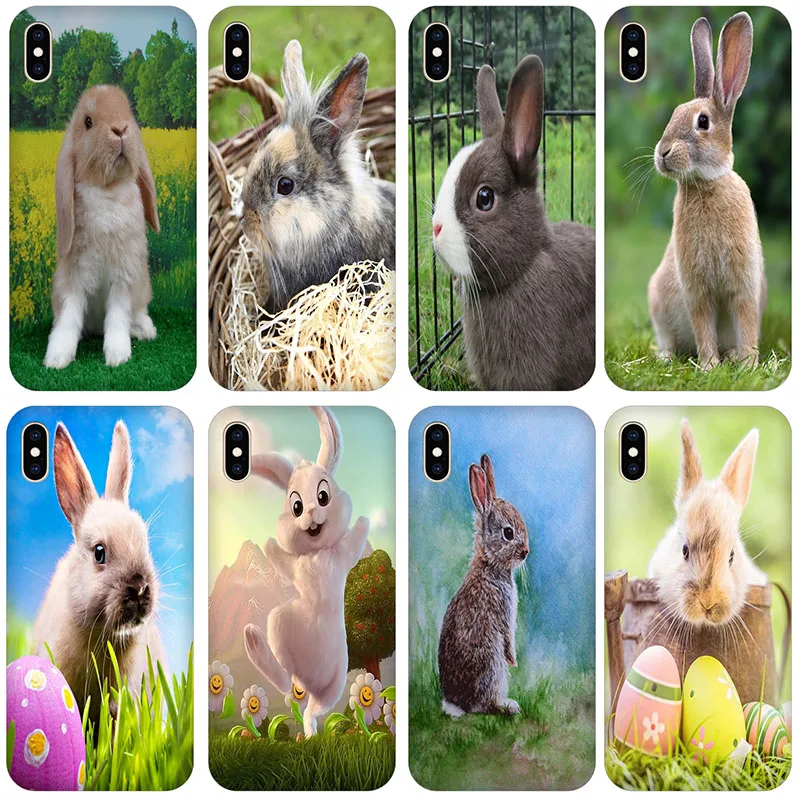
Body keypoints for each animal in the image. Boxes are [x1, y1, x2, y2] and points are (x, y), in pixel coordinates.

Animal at [45, 84, 159, 369]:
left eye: (129, 113)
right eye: (88, 122)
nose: (120, 129)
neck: (108, 190)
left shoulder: (124, 274)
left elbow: (118, 317)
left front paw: (118, 356)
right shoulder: (74, 275)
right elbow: (68, 317)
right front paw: (56, 358)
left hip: (142, 286)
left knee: (136, 312)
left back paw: (145, 330)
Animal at [243, 407, 370, 737]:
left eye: (323, 496)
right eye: (296, 506)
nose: (312, 514)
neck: (315, 554)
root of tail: (310, 683)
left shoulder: (341, 556)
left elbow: (354, 538)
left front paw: (363, 520)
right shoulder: (298, 567)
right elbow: (281, 560)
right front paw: (269, 542)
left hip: (333, 685)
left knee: (309, 706)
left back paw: (311, 732)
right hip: (280, 625)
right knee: (286, 680)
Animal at [438, 454, 529, 716]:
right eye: (508, 533)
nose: (526, 552)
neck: (490, 563)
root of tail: (457, 703)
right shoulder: (503, 613)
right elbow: (509, 638)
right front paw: (514, 661)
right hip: (492, 665)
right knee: (485, 705)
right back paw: (509, 706)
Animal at [648, 13, 767, 370]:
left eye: (703, 122)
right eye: (674, 114)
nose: (662, 152)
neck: (706, 183)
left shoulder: (744, 285)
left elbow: (746, 321)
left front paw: (747, 363)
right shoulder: (696, 289)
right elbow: (703, 324)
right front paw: (710, 366)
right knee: (669, 339)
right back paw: (666, 357)